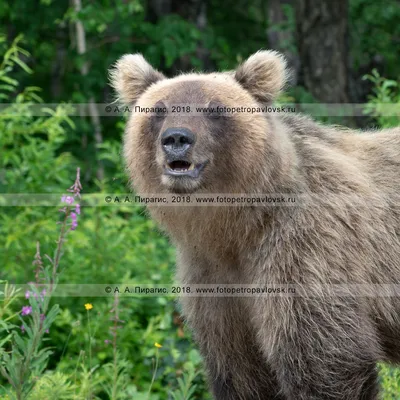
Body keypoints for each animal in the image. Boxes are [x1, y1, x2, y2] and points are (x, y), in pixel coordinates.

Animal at [110, 50, 400, 400]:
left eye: (215, 109)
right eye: (159, 109)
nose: (176, 138)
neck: (236, 229)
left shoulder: (308, 252)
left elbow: (326, 361)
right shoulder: (214, 280)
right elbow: (242, 371)